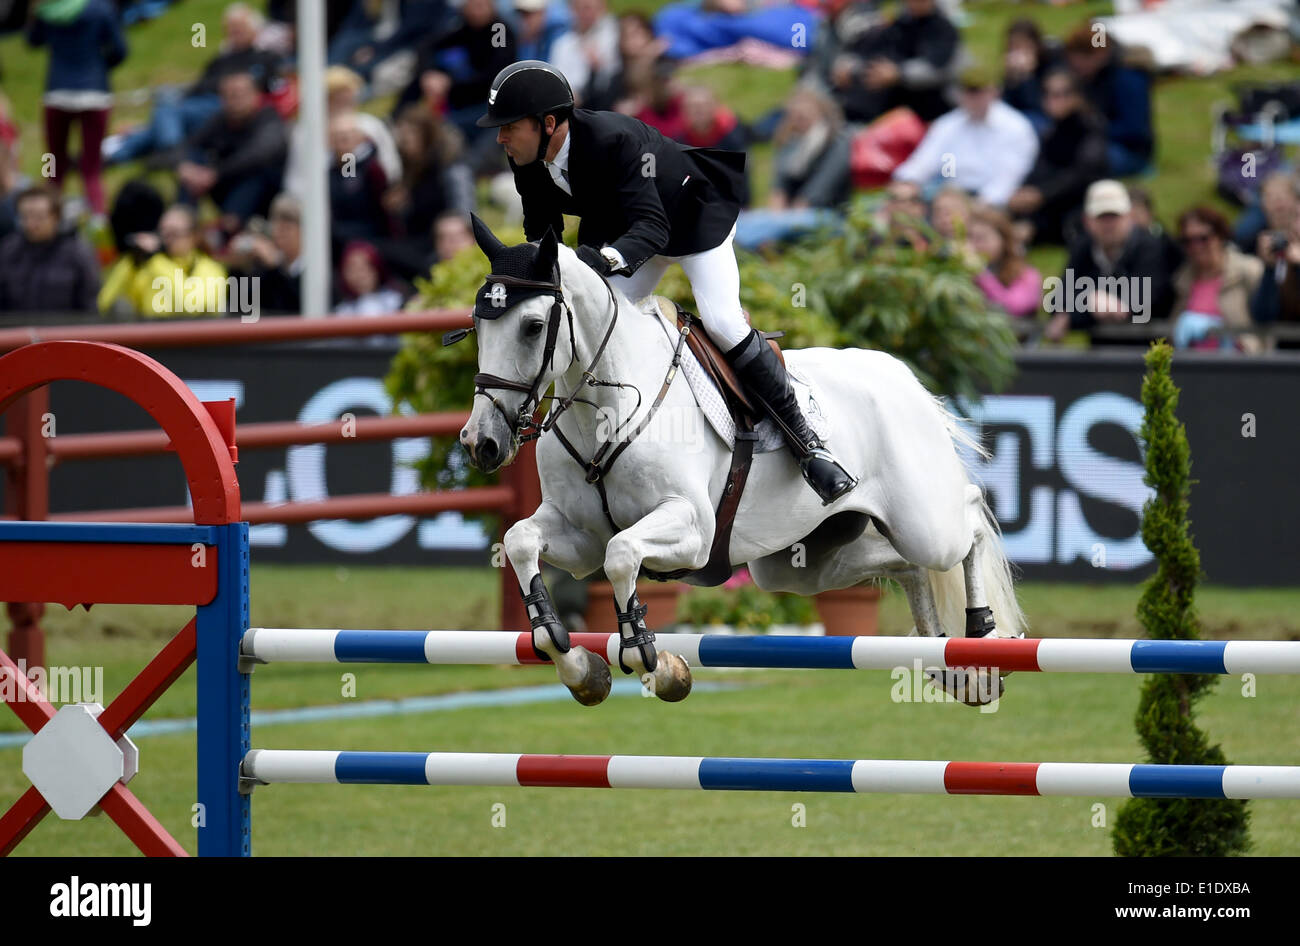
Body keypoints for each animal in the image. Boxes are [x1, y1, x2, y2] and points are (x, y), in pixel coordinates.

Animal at [460, 222, 1024, 706]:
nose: (481, 443)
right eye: (476, 328)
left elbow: (622, 556)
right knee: (907, 568)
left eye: (534, 326)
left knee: (970, 519)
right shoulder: (581, 539)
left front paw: (653, 660)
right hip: (801, 564)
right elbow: (521, 541)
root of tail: (900, 374)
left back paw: (980, 635)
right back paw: (947, 663)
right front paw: (577, 665)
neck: (605, 408)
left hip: (924, 523)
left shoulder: (691, 528)